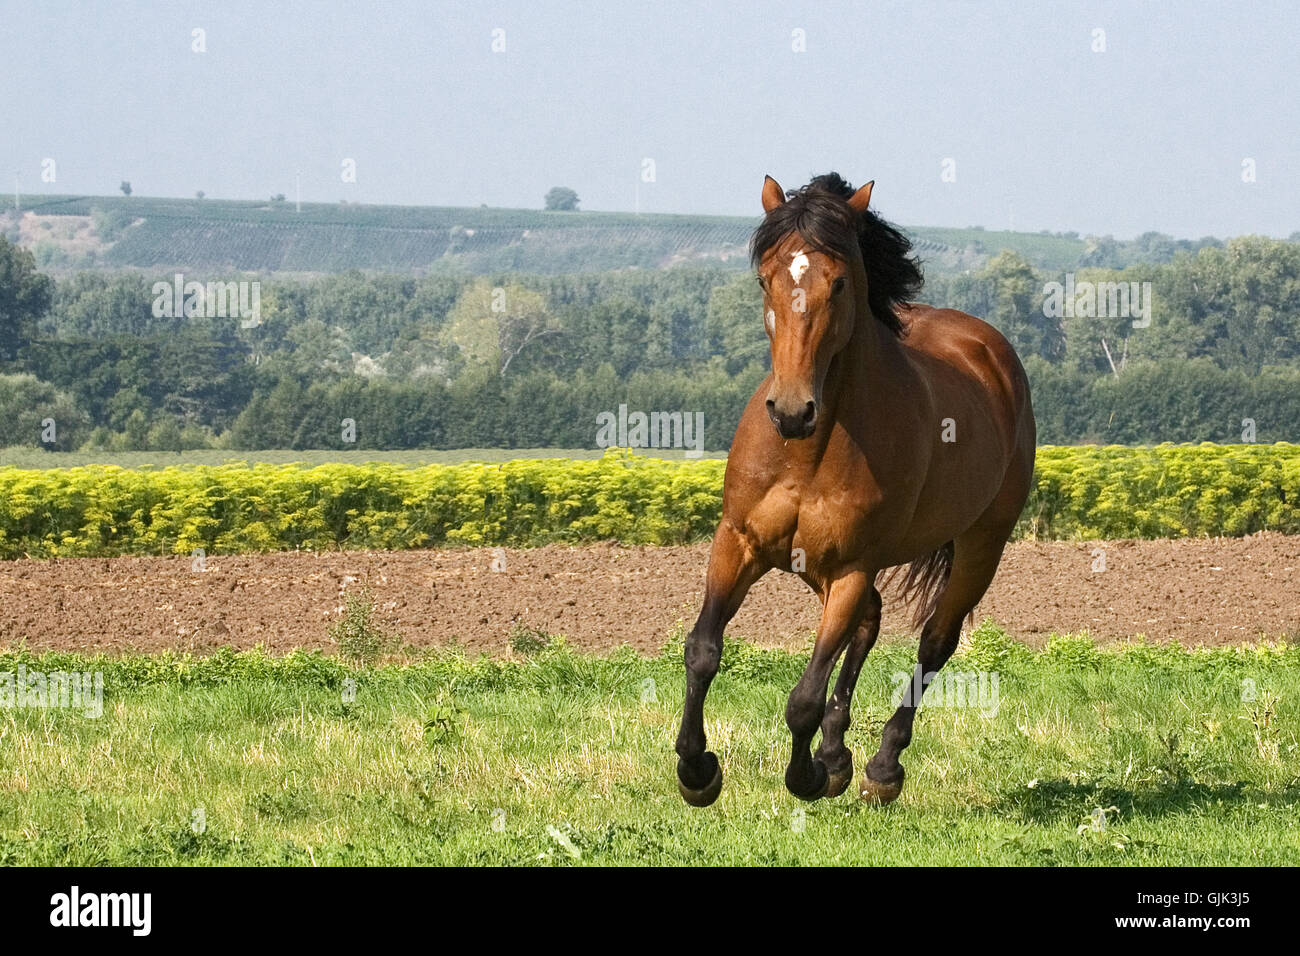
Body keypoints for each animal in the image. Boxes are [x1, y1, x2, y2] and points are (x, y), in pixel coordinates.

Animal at [674, 172, 1036, 807]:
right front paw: (697, 771)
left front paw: (808, 777)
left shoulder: (849, 568)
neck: (807, 451)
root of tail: (992, 353)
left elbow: (804, 697)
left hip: (980, 546)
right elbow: (703, 652)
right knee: (869, 623)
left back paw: (881, 767)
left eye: (839, 282)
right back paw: (838, 753)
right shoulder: (739, 543)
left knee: (934, 643)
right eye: (766, 278)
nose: (792, 410)